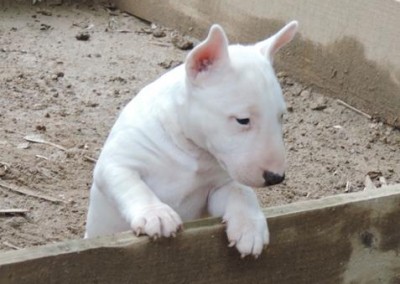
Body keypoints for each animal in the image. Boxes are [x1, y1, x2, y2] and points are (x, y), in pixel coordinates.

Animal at [86, 21, 298, 258]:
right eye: (242, 120)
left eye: (281, 116)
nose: (276, 178)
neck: (190, 149)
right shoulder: (117, 162)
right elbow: (131, 184)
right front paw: (157, 215)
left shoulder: (217, 187)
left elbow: (241, 191)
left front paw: (250, 229)